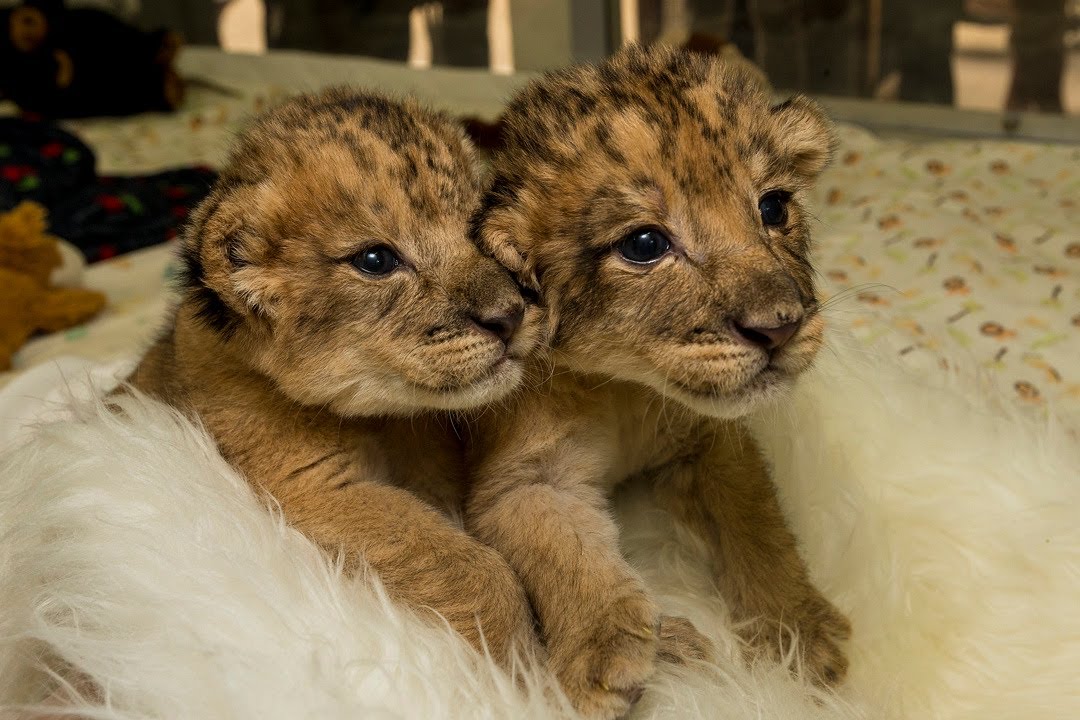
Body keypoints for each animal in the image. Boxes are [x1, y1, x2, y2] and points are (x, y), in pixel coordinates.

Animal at [465, 46, 851, 718]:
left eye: (773, 207)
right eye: (645, 244)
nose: (779, 327)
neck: (625, 388)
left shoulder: (714, 442)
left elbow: (761, 530)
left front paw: (799, 636)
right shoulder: (520, 480)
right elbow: (563, 548)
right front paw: (600, 656)